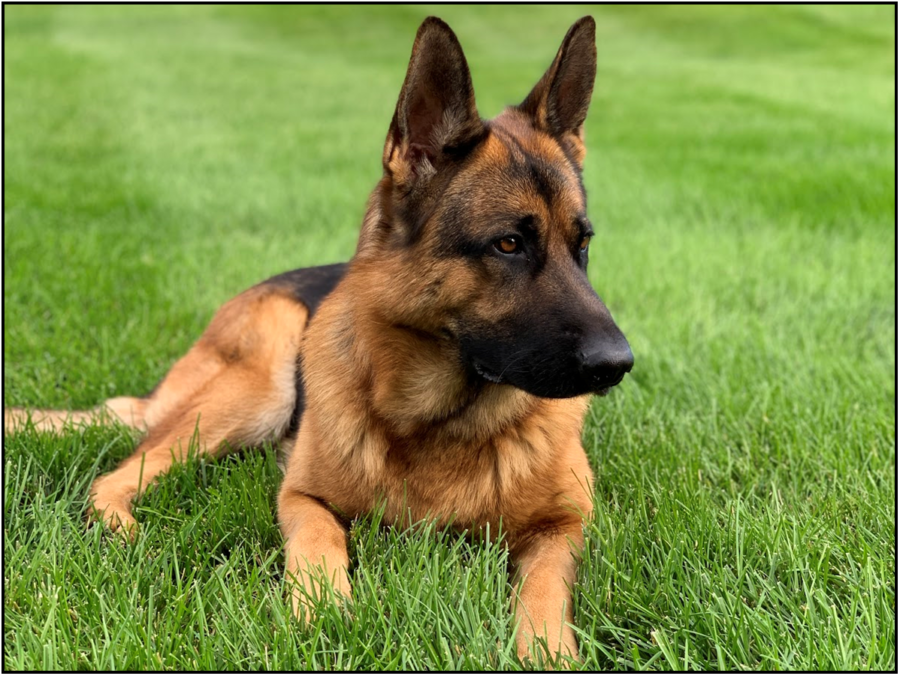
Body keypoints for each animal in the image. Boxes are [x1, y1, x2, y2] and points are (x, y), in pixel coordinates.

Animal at [5, 17, 632, 664]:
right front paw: (324, 610)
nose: (619, 363)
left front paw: (547, 650)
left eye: (582, 244)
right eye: (508, 244)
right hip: (258, 384)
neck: (440, 424)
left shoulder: (565, 525)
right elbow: (318, 537)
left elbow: (545, 587)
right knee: (118, 473)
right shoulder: (301, 497)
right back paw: (125, 531)